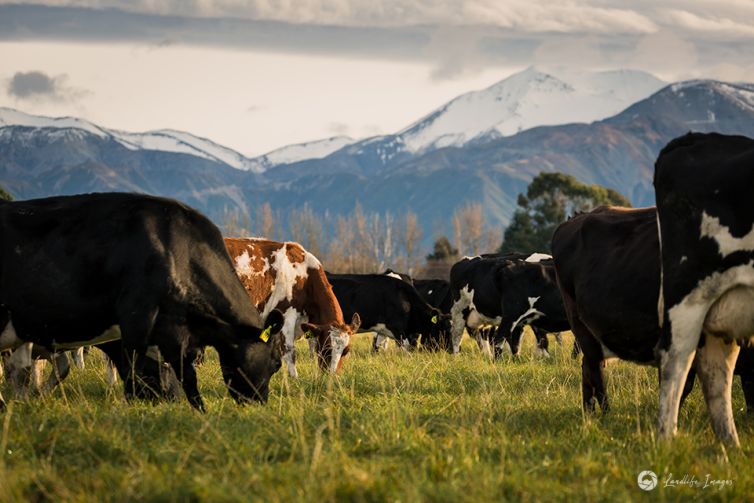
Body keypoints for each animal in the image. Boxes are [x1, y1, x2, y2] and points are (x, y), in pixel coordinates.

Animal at [0, 191, 282, 412]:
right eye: (275, 363)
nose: (259, 404)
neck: (178, 252)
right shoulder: (137, 318)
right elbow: (136, 364)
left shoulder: (174, 332)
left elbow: (187, 376)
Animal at [223, 239, 358, 378]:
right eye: (326, 349)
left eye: (346, 351)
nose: (332, 377)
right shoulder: (287, 314)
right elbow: (289, 350)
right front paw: (295, 378)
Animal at [548, 203, 752, 424]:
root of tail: (577, 218)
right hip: (580, 325)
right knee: (596, 370)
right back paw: (606, 415)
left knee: (587, 367)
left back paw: (589, 413)